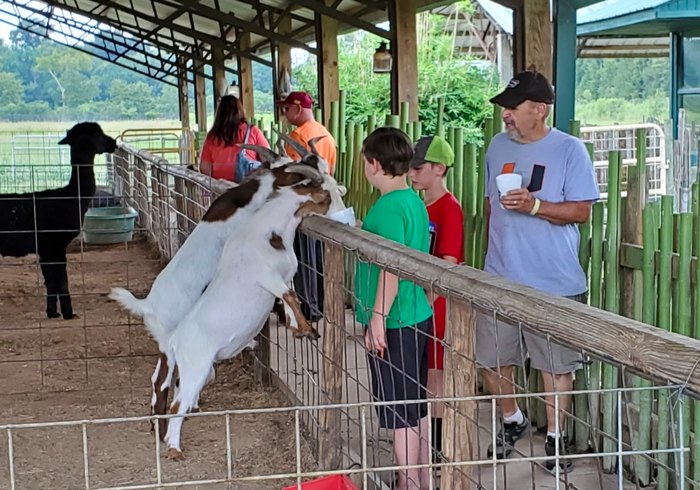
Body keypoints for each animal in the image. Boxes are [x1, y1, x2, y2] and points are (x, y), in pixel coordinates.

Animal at [0, 123, 116, 318]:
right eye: (96, 134)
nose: (114, 143)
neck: (69, 197)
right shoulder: (55, 244)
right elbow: (61, 281)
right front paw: (69, 314)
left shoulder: (46, 249)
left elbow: (50, 282)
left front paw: (52, 313)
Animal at [160, 180, 332, 460]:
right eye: (311, 188)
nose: (328, 195)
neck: (272, 231)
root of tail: (174, 339)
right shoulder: (266, 275)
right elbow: (289, 297)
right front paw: (307, 330)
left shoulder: (283, 278)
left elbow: (288, 299)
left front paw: (298, 329)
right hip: (196, 367)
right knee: (176, 406)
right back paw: (175, 449)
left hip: (199, 371)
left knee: (178, 388)